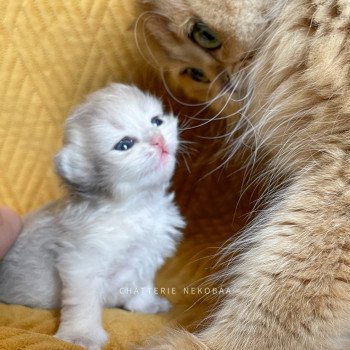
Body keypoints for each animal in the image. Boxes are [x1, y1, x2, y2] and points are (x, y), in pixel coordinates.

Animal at [0, 84, 186, 350]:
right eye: (124, 145)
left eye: (156, 121)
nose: (158, 140)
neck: (136, 206)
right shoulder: (81, 266)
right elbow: (83, 305)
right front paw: (82, 335)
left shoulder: (146, 256)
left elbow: (142, 283)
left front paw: (146, 305)